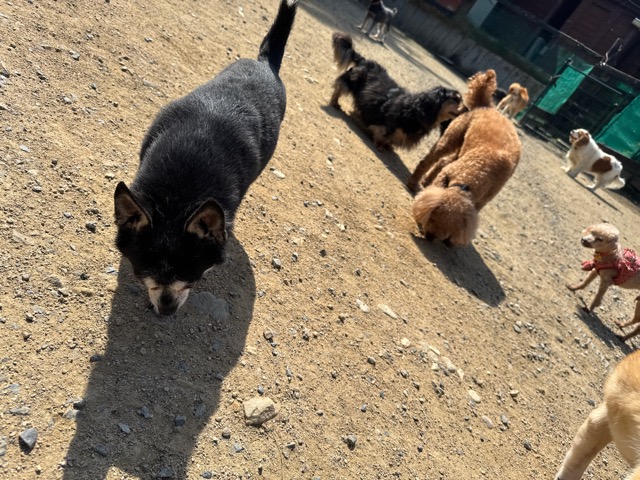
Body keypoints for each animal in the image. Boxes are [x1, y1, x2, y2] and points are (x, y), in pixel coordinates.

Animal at [330, 32, 461, 151]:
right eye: (455, 99)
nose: (464, 110)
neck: (417, 110)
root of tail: (364, 61)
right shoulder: (388, 124)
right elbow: (383, 133)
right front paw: (380, 144)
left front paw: (388, 145)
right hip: (349, 82)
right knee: (339, 88)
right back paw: (335, 103)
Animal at [407, 70, 521, 246]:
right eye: (432, 218)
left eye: (451, 229)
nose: (430, 237)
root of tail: (486, 106)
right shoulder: (446, 176)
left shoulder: (482, 200)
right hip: (451, 138)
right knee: (430, 160)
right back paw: (414, 181)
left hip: (460, 150)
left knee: (442, 161)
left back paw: (425, 181)